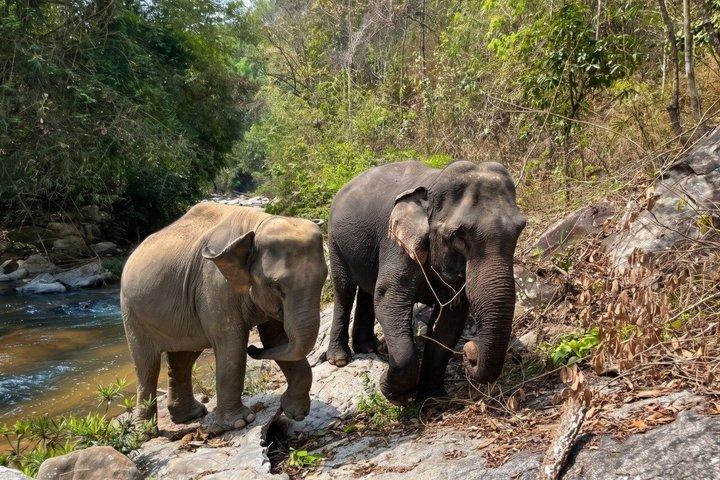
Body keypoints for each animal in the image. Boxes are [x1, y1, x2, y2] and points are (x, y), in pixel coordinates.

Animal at [120, 203, 327, 433]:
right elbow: (231, 343)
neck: (257, 223)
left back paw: (190, 416)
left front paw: (296, 413)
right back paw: (145, 432)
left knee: (183, 358)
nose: (253, 348)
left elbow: (276, 338)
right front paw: (240, 422)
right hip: (131, 312)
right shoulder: (214, 284)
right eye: (276, 286)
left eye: (324, 277)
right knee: (147, 365)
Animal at [325, 160, 526, 404]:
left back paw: (370, 348)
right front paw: (395, 395)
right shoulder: (397, 245)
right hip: (334, 241)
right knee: (344, 290)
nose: (470, 352)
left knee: (367, 292)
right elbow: (388, 301)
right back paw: (339, 359)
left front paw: (433, 401)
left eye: (520, 229)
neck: (433, 184)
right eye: (459, 236)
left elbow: (450, 319)